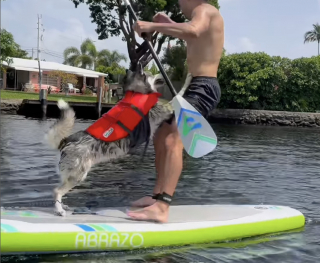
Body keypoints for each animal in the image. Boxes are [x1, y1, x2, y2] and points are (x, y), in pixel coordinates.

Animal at [45, 64, 172, 217]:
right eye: (151, 74)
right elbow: (173, 101)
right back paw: (59, 210)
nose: (162, 75)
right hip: (78, 175)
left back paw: (63, 206)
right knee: (56, 191)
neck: (136, 92)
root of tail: (66, 140)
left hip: (70, 175)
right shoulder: (159, 111)